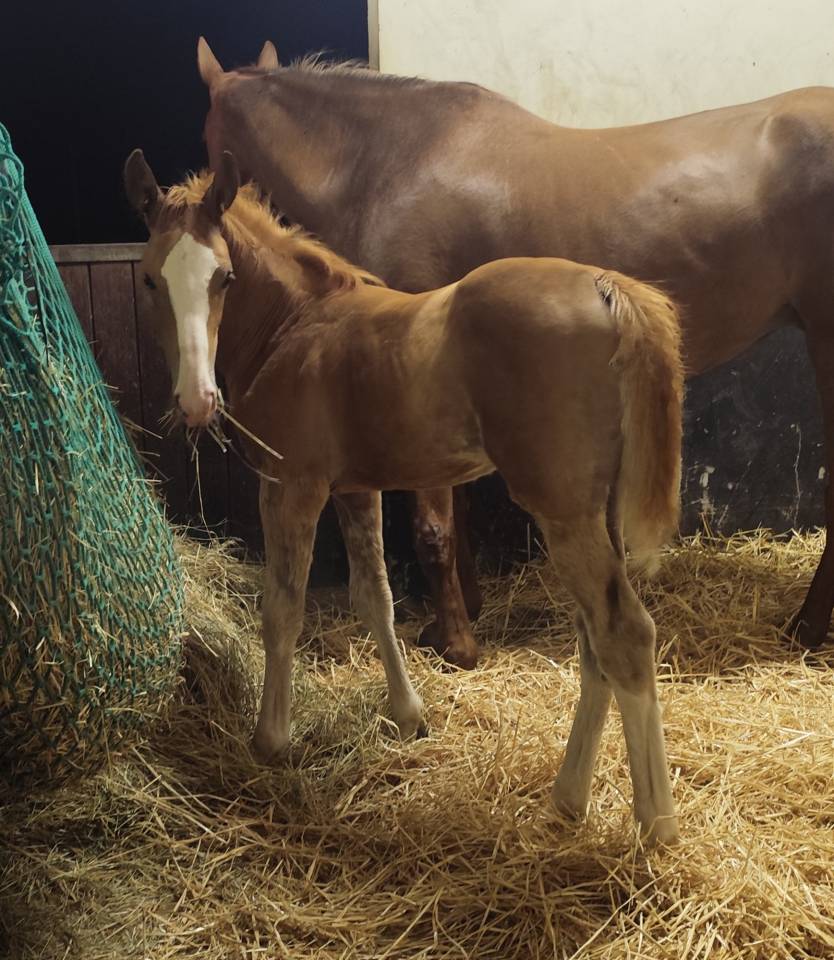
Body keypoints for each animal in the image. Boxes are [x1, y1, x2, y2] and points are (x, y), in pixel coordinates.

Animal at [123, 148, 683, 843]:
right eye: (150, 279)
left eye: (224, 277)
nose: (197, 401)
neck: (296, 325)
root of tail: (607, 287)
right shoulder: (356, 490)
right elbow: (376, 598)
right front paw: (408, 713)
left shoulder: (292, 486)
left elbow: (283, 608)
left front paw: (270, 741)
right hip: (593, 510)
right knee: (594, 643)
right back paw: (567, 799)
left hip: (562, 508)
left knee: (624, 635)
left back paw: (656, 827)